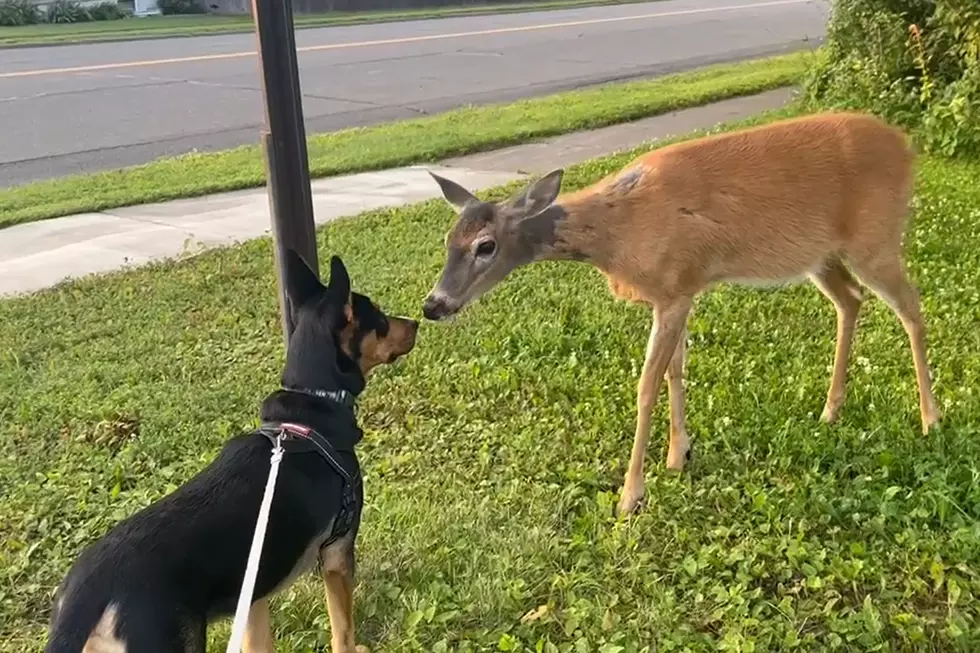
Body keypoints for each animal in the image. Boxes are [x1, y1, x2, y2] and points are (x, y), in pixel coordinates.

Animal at [45, 251, 418, 652]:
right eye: (379, 317)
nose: (416, 322)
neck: (308, 408)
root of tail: (87, 594)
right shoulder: (337, 554)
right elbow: (342, 628)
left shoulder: (253, 594)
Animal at [422, 113, 940, 520]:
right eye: (447, 240)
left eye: (485, 246)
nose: (433, 304)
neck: (616, 231)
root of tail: (906, 146)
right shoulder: (679, 290)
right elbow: (676, 369)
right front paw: (678, 454)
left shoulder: (673, 288)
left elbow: (646, 384)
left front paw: (630, 495)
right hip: (822, 256)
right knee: (851, 300)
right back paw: (831, 409)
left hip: (877, 236)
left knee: (913, 308)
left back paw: (930, 418)